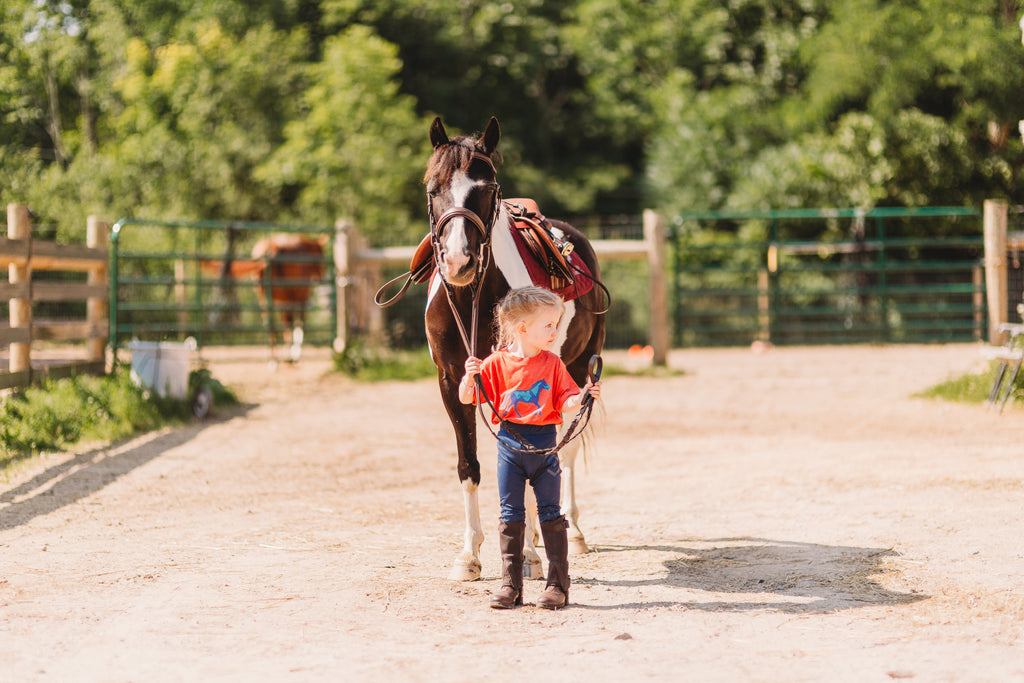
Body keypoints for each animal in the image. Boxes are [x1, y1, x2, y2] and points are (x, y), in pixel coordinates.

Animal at [200, 233, 328, 364]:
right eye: (321, 257)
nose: (320, 278)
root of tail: (270, 251)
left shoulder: (284, 300)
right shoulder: (299, 296)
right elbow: (298, 323)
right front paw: (294, 354)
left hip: (264, 295)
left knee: (269, 323)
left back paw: (274, 360)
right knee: (285, 323)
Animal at [423, 116, 606, 581]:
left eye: (487, 188)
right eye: (433, 188)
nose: (458, 262)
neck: (473, 299)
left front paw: (526, 556)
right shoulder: (453, 381)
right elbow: (470, 465)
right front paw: (469, 555)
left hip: (581, 367)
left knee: (566, 448)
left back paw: (572, 532)